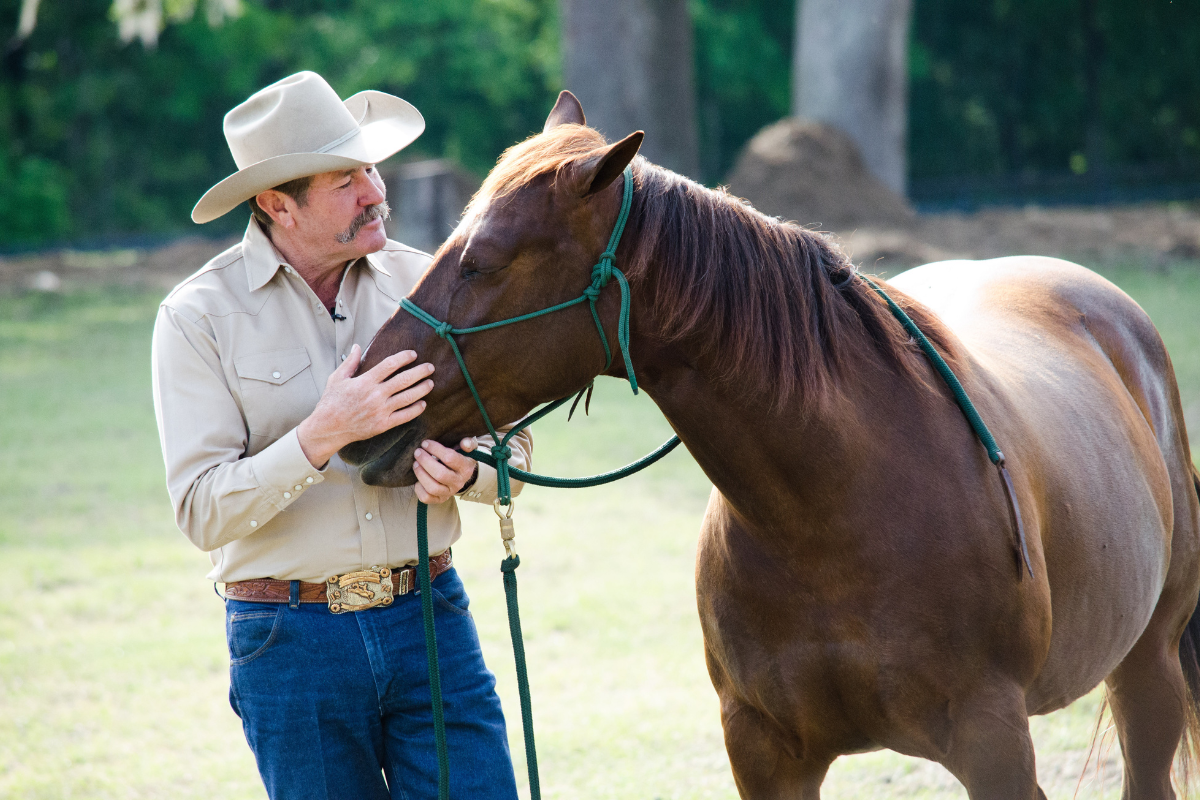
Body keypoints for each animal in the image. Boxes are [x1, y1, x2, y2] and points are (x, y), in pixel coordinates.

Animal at [338, 90, 1200, 796]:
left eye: (482, 262)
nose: (363, 401)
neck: (836, 510)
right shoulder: (762, 751)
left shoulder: (995, 747)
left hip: (1149, 671)